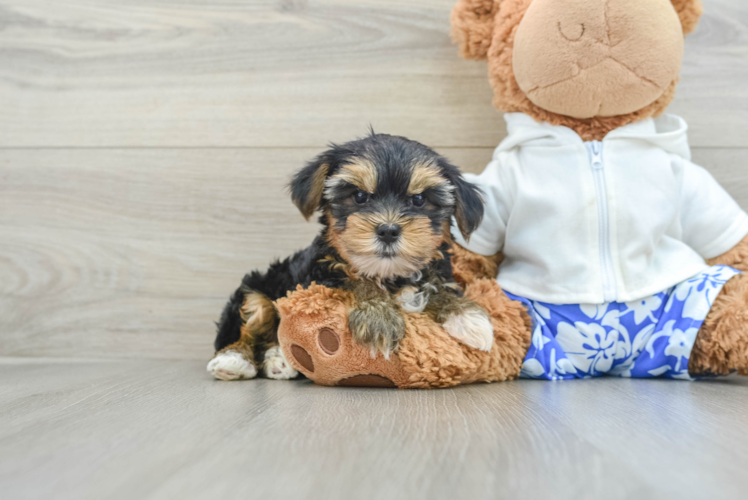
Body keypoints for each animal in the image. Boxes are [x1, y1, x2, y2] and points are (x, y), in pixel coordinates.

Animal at [207, 131, 494, 380]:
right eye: (359, 196)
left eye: (419, 200)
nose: (388, 230)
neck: (390, 275)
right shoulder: (319, 276)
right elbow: (356, 280)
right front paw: (379, 319)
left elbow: (437, 285)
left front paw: (469, 317)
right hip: (257, 288)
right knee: (250, 319)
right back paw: (234, 359)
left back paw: (279, 359)